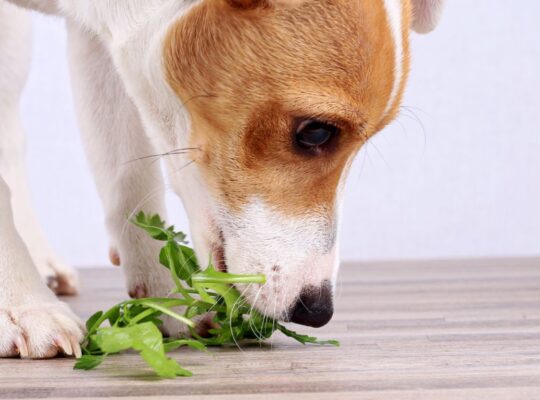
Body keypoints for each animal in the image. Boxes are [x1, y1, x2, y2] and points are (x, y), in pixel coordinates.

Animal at [0, 0, 442, 360]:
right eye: (316, 132)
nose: (317, 311)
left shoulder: (97, 40)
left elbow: (127, 173)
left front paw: (167, 299)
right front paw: (24, 306)